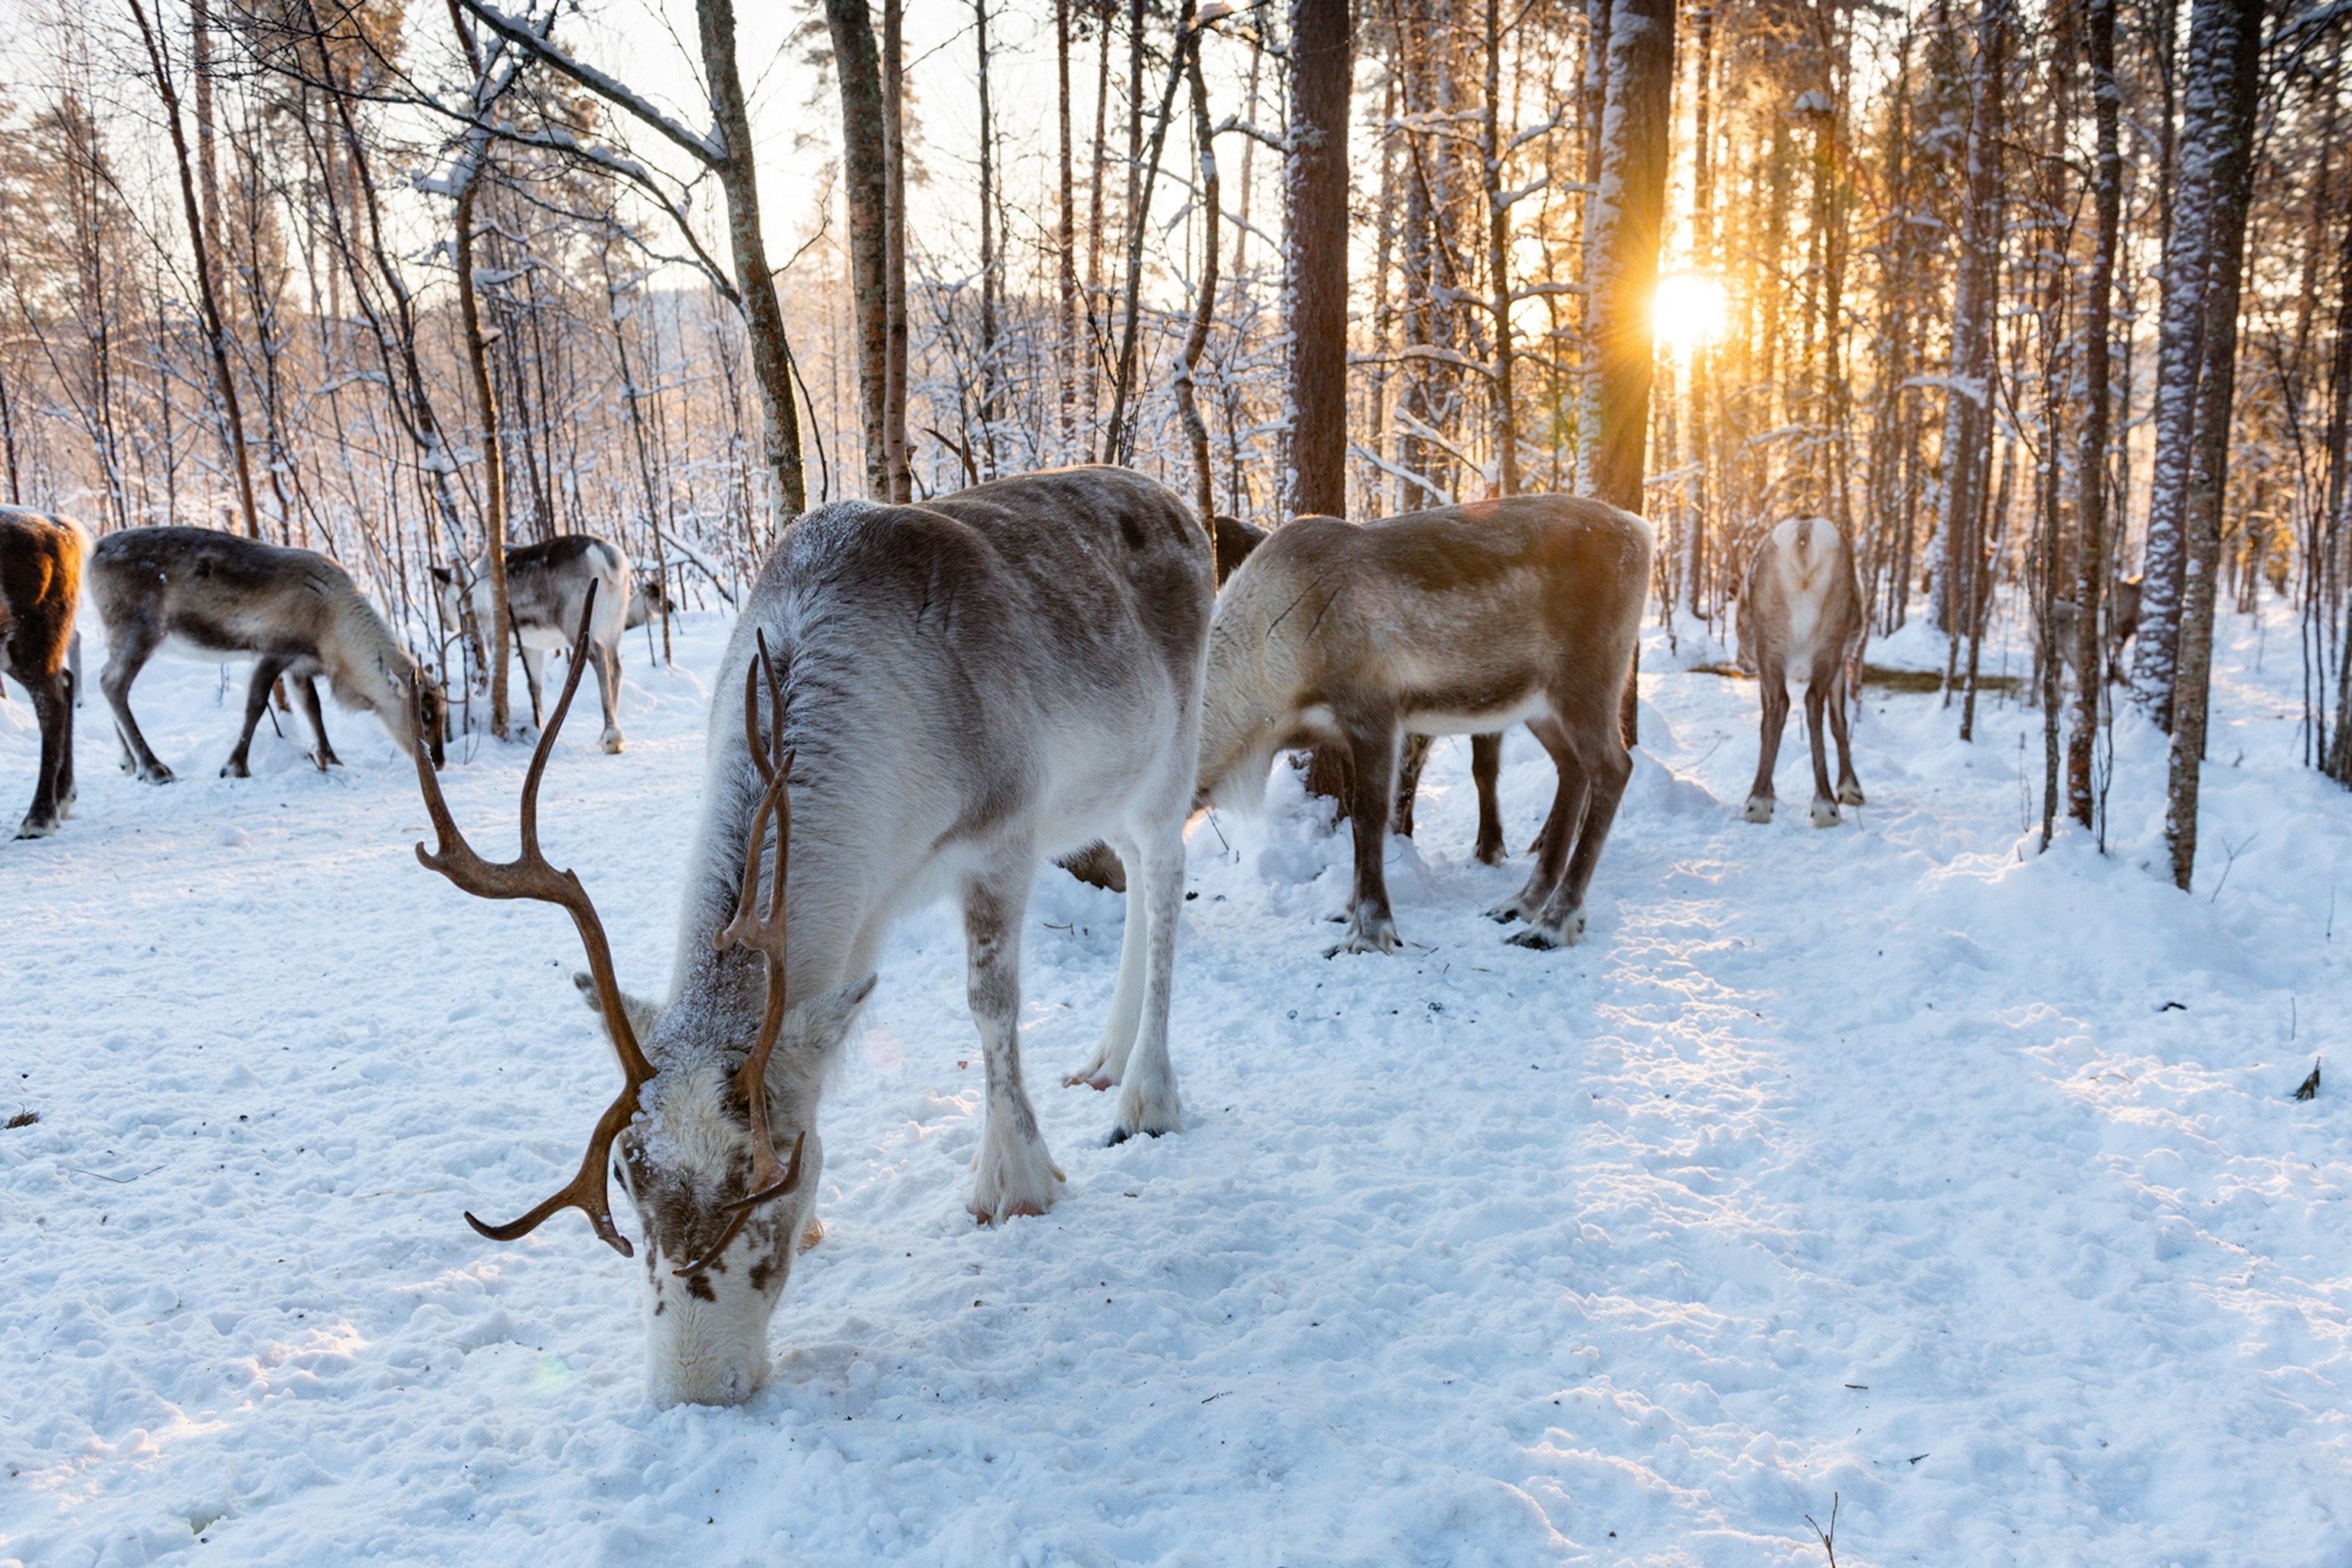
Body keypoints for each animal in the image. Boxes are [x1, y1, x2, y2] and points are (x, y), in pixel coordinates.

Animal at [0, 509, 85, 838]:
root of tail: (63, 526)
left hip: (33, 642)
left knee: (51, 704)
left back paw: (39, 817)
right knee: (66, 682)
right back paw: (63, 796)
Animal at [86, 526, 447, 782]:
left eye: (442, 711)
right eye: (423, 714)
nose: (440, 761)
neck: (332, 626)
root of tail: (91, 555)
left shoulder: (300, 665)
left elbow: (313, 710)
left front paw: (331, 758)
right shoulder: (273, 651)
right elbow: (256, 707)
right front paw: (234, 766)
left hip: (120, 634)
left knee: (109, 682)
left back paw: (129, 762)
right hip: (138, 630)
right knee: (112, 683)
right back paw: (154, 768)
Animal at [432, 534, 664, 751]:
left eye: (443, 592)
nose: (446, 622)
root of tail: (608, 554)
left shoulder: (493, 635)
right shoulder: (533, 646)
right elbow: (536, 686)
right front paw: (540, 726)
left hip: (579, 623)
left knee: (600, 660)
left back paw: (611, 735)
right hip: (613, 626)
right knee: (616, 667)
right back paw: (607, 733)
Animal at [1194, 495, 1653, 954]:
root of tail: (1641, 530)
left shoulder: (1375, 713)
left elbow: (1370, 815)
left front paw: (1369, 929)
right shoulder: (1337, 733)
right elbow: (1353, 810)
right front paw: (1348, 907)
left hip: (1586, 680)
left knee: (1613, 768)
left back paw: (1554, 922)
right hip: (1538, 703)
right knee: (1572, 768)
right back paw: (1524, 901)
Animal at [1736, 516, 1865, 828]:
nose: (1741, 664)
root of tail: (1803, 537)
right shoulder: (1841, 660)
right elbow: (1839, 722)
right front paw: (1850, 788)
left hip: (1775, 643)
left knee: (1784, 703)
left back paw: (1761, 801)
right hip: (1826, 641)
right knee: (1808, 702)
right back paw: (1823, 804)